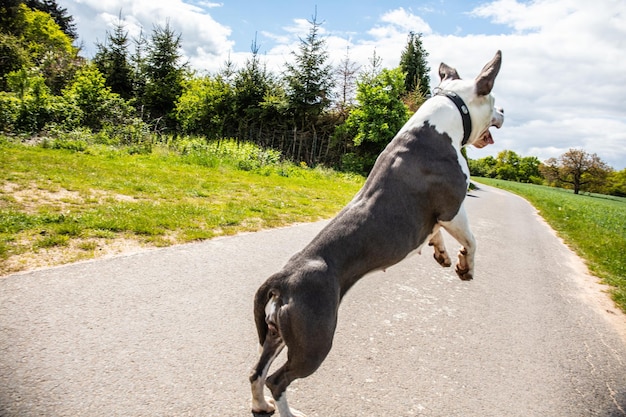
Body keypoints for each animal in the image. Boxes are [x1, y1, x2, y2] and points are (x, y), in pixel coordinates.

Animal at [249, 50, 502, 414]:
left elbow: (435, 233)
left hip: (278, 333)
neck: (450, 112)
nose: (504, 113)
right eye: (495, 99)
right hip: (315, 341)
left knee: (256, 371)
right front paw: (465, 266)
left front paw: (441, 254)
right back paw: (289, 410)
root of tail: (281, 278)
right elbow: (471, 240)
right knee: (277, 379)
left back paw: (261, 405)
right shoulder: (453, 208)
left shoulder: (434, 219)